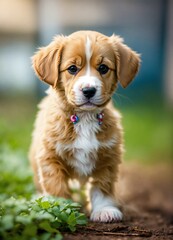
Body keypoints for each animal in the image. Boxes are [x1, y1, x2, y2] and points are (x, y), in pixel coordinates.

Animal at [29, 30, 140, 223]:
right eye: (72, 68)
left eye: (103, 68)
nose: (89, 90)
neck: (84, 118)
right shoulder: (50, 157)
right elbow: (56, 186)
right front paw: (59, 208)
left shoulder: (107, 157)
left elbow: (102, 186)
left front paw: (105, 209)